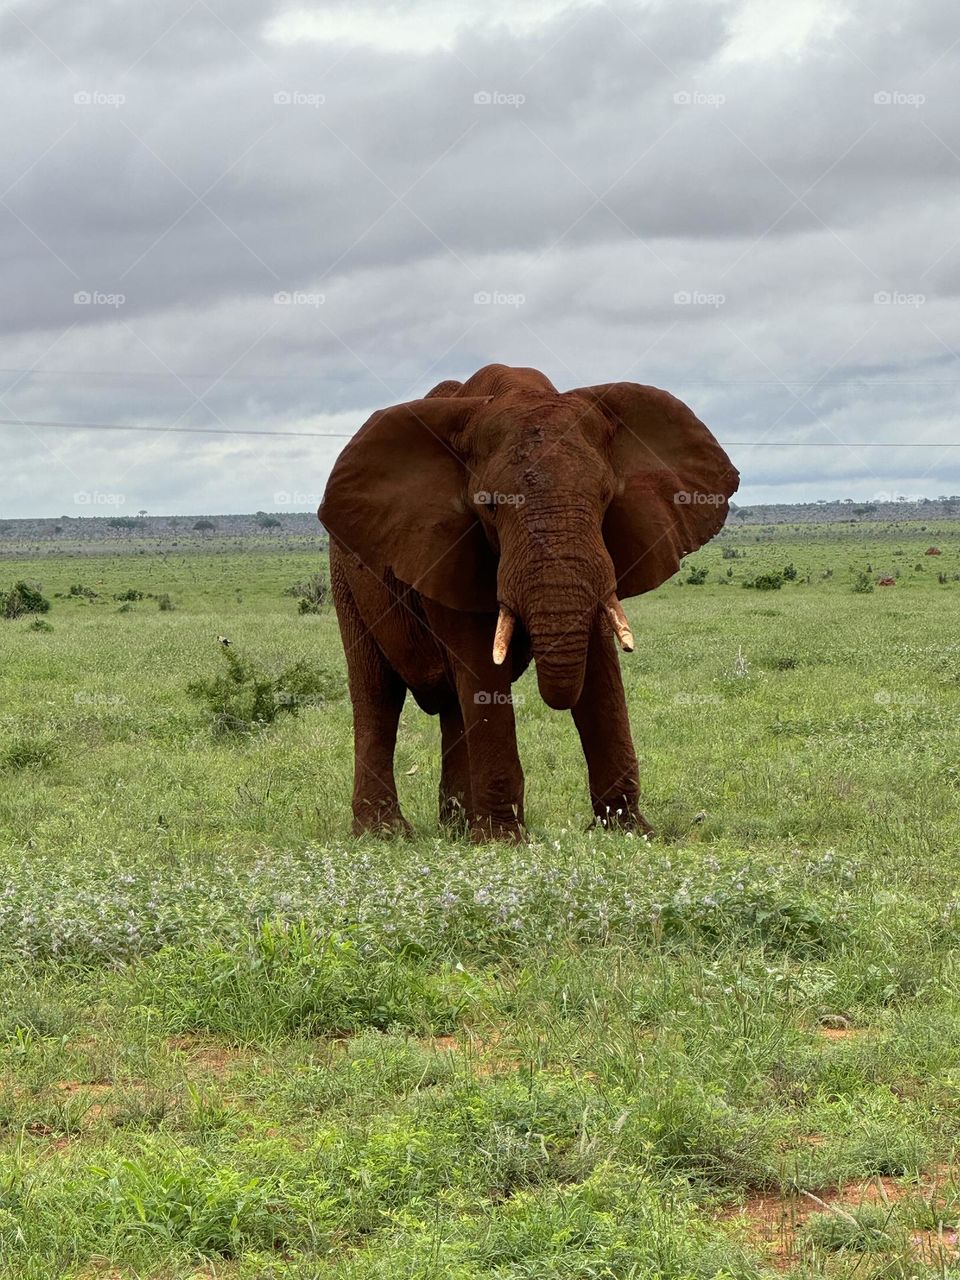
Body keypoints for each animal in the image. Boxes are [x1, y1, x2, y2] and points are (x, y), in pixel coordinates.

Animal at [318, 363, 738, 841]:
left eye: (605, 498)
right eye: (489, 505)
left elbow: (600, 669)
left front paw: (629, 832)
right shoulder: (445, 546)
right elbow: (481, 666)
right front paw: (503, 842)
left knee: (451, 707)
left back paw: (456, 830)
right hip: (345, 579)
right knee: (377, 696)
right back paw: (386, 833)